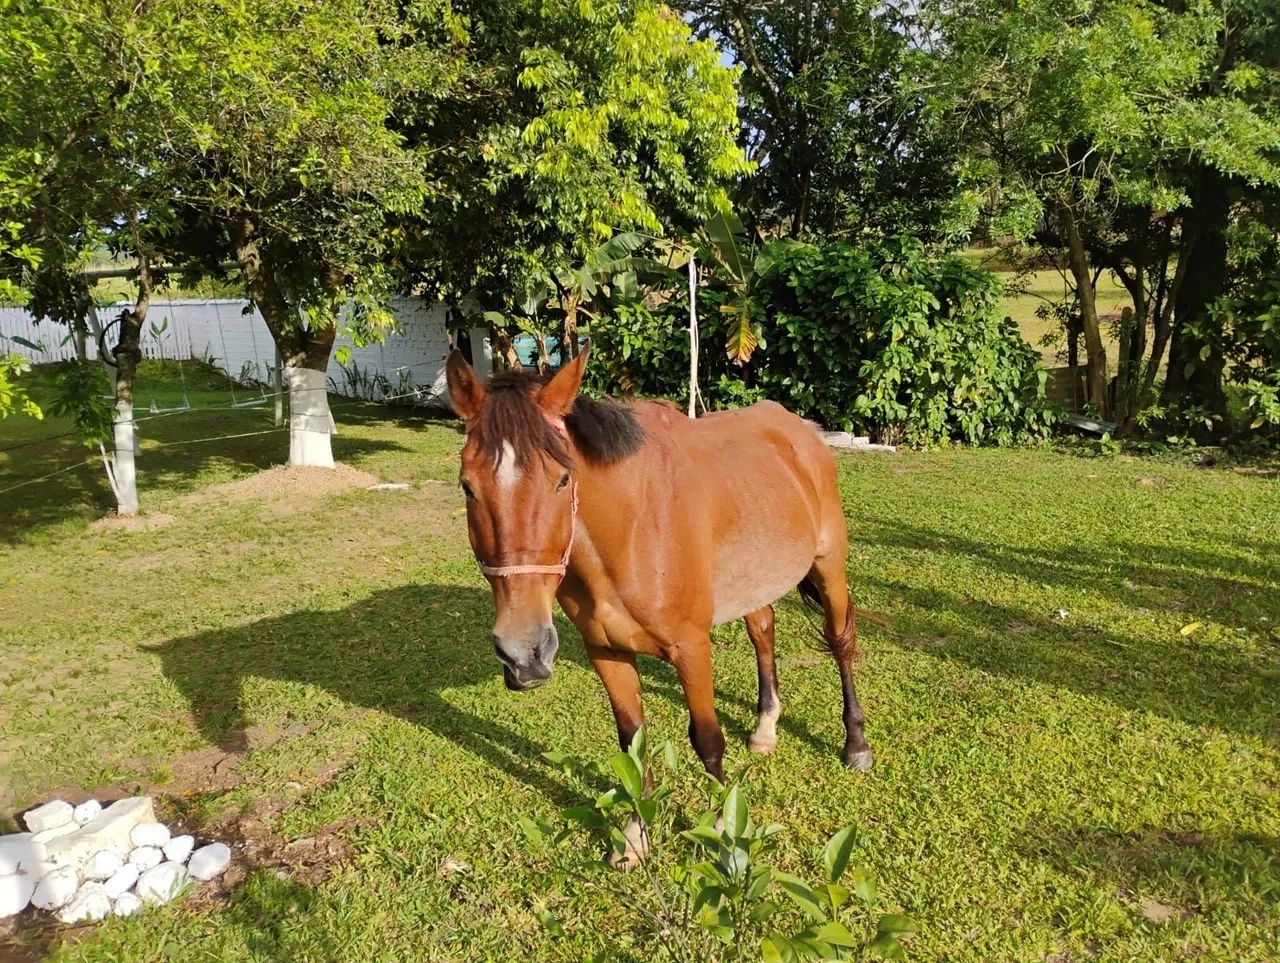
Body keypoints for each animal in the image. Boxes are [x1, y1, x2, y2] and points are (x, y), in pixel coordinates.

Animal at [445, 347, 873, 865]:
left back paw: (855, 744)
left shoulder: (691, 647)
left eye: (562, 479)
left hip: (829, 569)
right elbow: (631, 741)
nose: (523, 653)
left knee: (840, 642)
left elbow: (707, 740)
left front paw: (725, 839)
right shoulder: (605, 652)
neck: (632, 531)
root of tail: (799, 431)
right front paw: (635, 836)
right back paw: (766, 727)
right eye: (467, 486)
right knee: (763, 631)